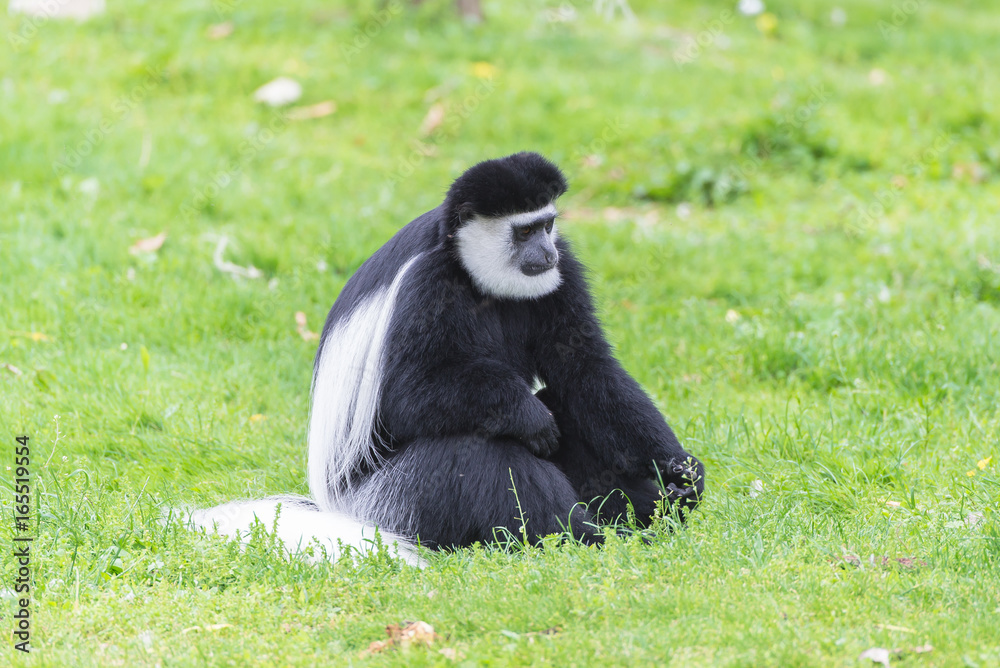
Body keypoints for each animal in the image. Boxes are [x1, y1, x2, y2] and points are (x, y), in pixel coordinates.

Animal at [191, 152, 703, 561]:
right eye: (523, 232)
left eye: (548, 225)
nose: (546, 253)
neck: (477, 279)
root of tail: (345, 510)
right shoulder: (425, 286)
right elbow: (406, 398)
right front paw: (524, 413)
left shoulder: (565, 273)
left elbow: (585, 368)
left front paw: (679, 470)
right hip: (395, 498)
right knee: (476, 450)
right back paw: (583, 535)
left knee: (568, 405)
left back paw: (653, 512)